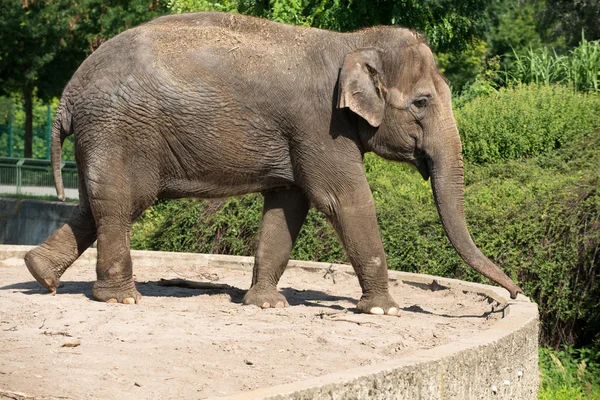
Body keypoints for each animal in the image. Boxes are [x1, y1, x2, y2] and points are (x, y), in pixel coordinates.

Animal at [24, 11, 520, 316]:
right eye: (421, 102)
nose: (514, 294)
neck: (353, 42)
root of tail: (68, 93)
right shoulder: (319, 124)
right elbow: (344, 199)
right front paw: (384, 310)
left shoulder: (301, 134)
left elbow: (289, 204)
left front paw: (264, 305)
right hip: (120, 129)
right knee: (121, 203)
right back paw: (120, 300)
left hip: (107, 135)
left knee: (97, 203)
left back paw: (40, 274)